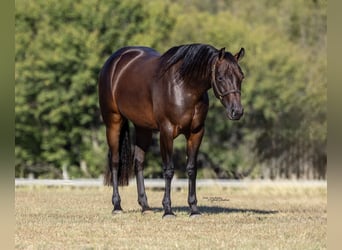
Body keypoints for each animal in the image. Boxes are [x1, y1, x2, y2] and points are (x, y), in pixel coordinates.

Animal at [97, 43, 244, 217]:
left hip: (143, 128)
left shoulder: (196, 133)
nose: (237, 111)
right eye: (220, 77)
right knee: (115, 161)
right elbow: (168, 170)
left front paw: (194, 209)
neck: (184, 87)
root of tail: (114, 61)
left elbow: (191, 169)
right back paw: (117, 206)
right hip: (113, 122)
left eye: (241, 77)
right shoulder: (166, 132)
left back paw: (145, 206)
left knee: (139, 162)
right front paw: (168, 210)